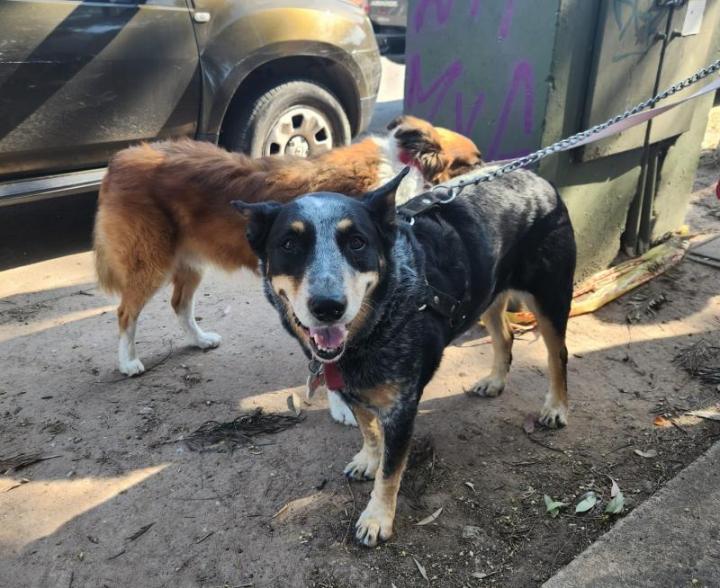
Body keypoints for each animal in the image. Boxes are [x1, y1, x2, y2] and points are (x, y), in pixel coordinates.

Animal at [93, 115, 480, 398]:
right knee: (126, 312)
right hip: (150, 262)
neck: (403, 164)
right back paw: (128, 362)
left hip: (190, 261)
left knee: (179, 304)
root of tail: (120, 159)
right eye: (472, 162)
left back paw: (199, 340)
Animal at [233, 165, 576, 548]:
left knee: (558, 353)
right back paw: (495, 381)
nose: (328, 307)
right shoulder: (352, 389)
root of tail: (536, 177)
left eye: (357, 242)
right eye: (289, 244)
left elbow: (391, 471)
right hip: (487, 293)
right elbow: (368, 430)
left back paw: (556, 407)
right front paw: (368, 459)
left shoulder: (403, 407)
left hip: (550, 296)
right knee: (505, 336)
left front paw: (377, 518)